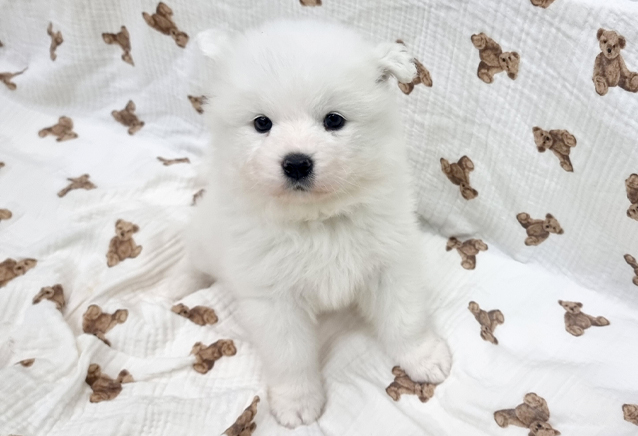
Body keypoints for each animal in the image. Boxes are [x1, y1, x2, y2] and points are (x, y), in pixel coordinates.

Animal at [188, 19, 452, 428]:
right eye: (262, 123)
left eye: (334, 120)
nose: (296, 163)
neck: (319, 219)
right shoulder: (274, 299)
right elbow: (290, 357)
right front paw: (298, 402)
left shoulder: (390, 263)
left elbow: (405, 317)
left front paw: (423, 357)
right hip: (205, 239)